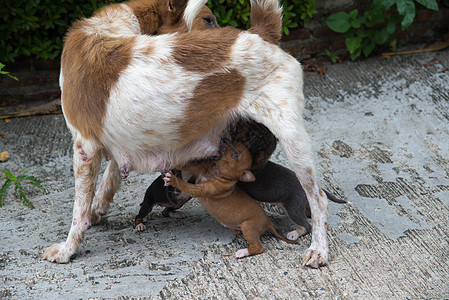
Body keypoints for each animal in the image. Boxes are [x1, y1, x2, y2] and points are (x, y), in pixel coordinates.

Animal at [163, 141, 296, 258]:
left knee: (258, 247)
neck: (216, 172)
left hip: (248, 226)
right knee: (238, 232)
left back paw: (243, 252)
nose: (224, 140)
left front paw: (172, 179)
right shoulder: (195, 169)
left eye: (236, 153)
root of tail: (268, 222)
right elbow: (183, 164)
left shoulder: (199, 190)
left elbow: (184, 185)